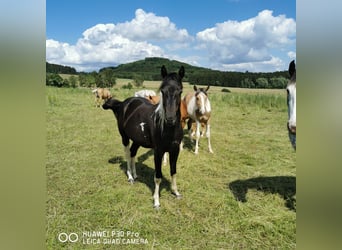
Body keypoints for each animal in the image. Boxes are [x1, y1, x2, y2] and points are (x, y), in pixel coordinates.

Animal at [103, 65, 186, 208]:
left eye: (180, 91)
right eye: (162, 91)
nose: (170, 119)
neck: (167, 128)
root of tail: (123, 103)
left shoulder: (175, 150)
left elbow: (173, 171)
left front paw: (176, 192)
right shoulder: (158, 151)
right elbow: (158, 176)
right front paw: (156, 201)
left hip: (137, 140)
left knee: (133, 153)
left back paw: (136, 175)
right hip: (124, 137)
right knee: (127, 154)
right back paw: (130, 177)